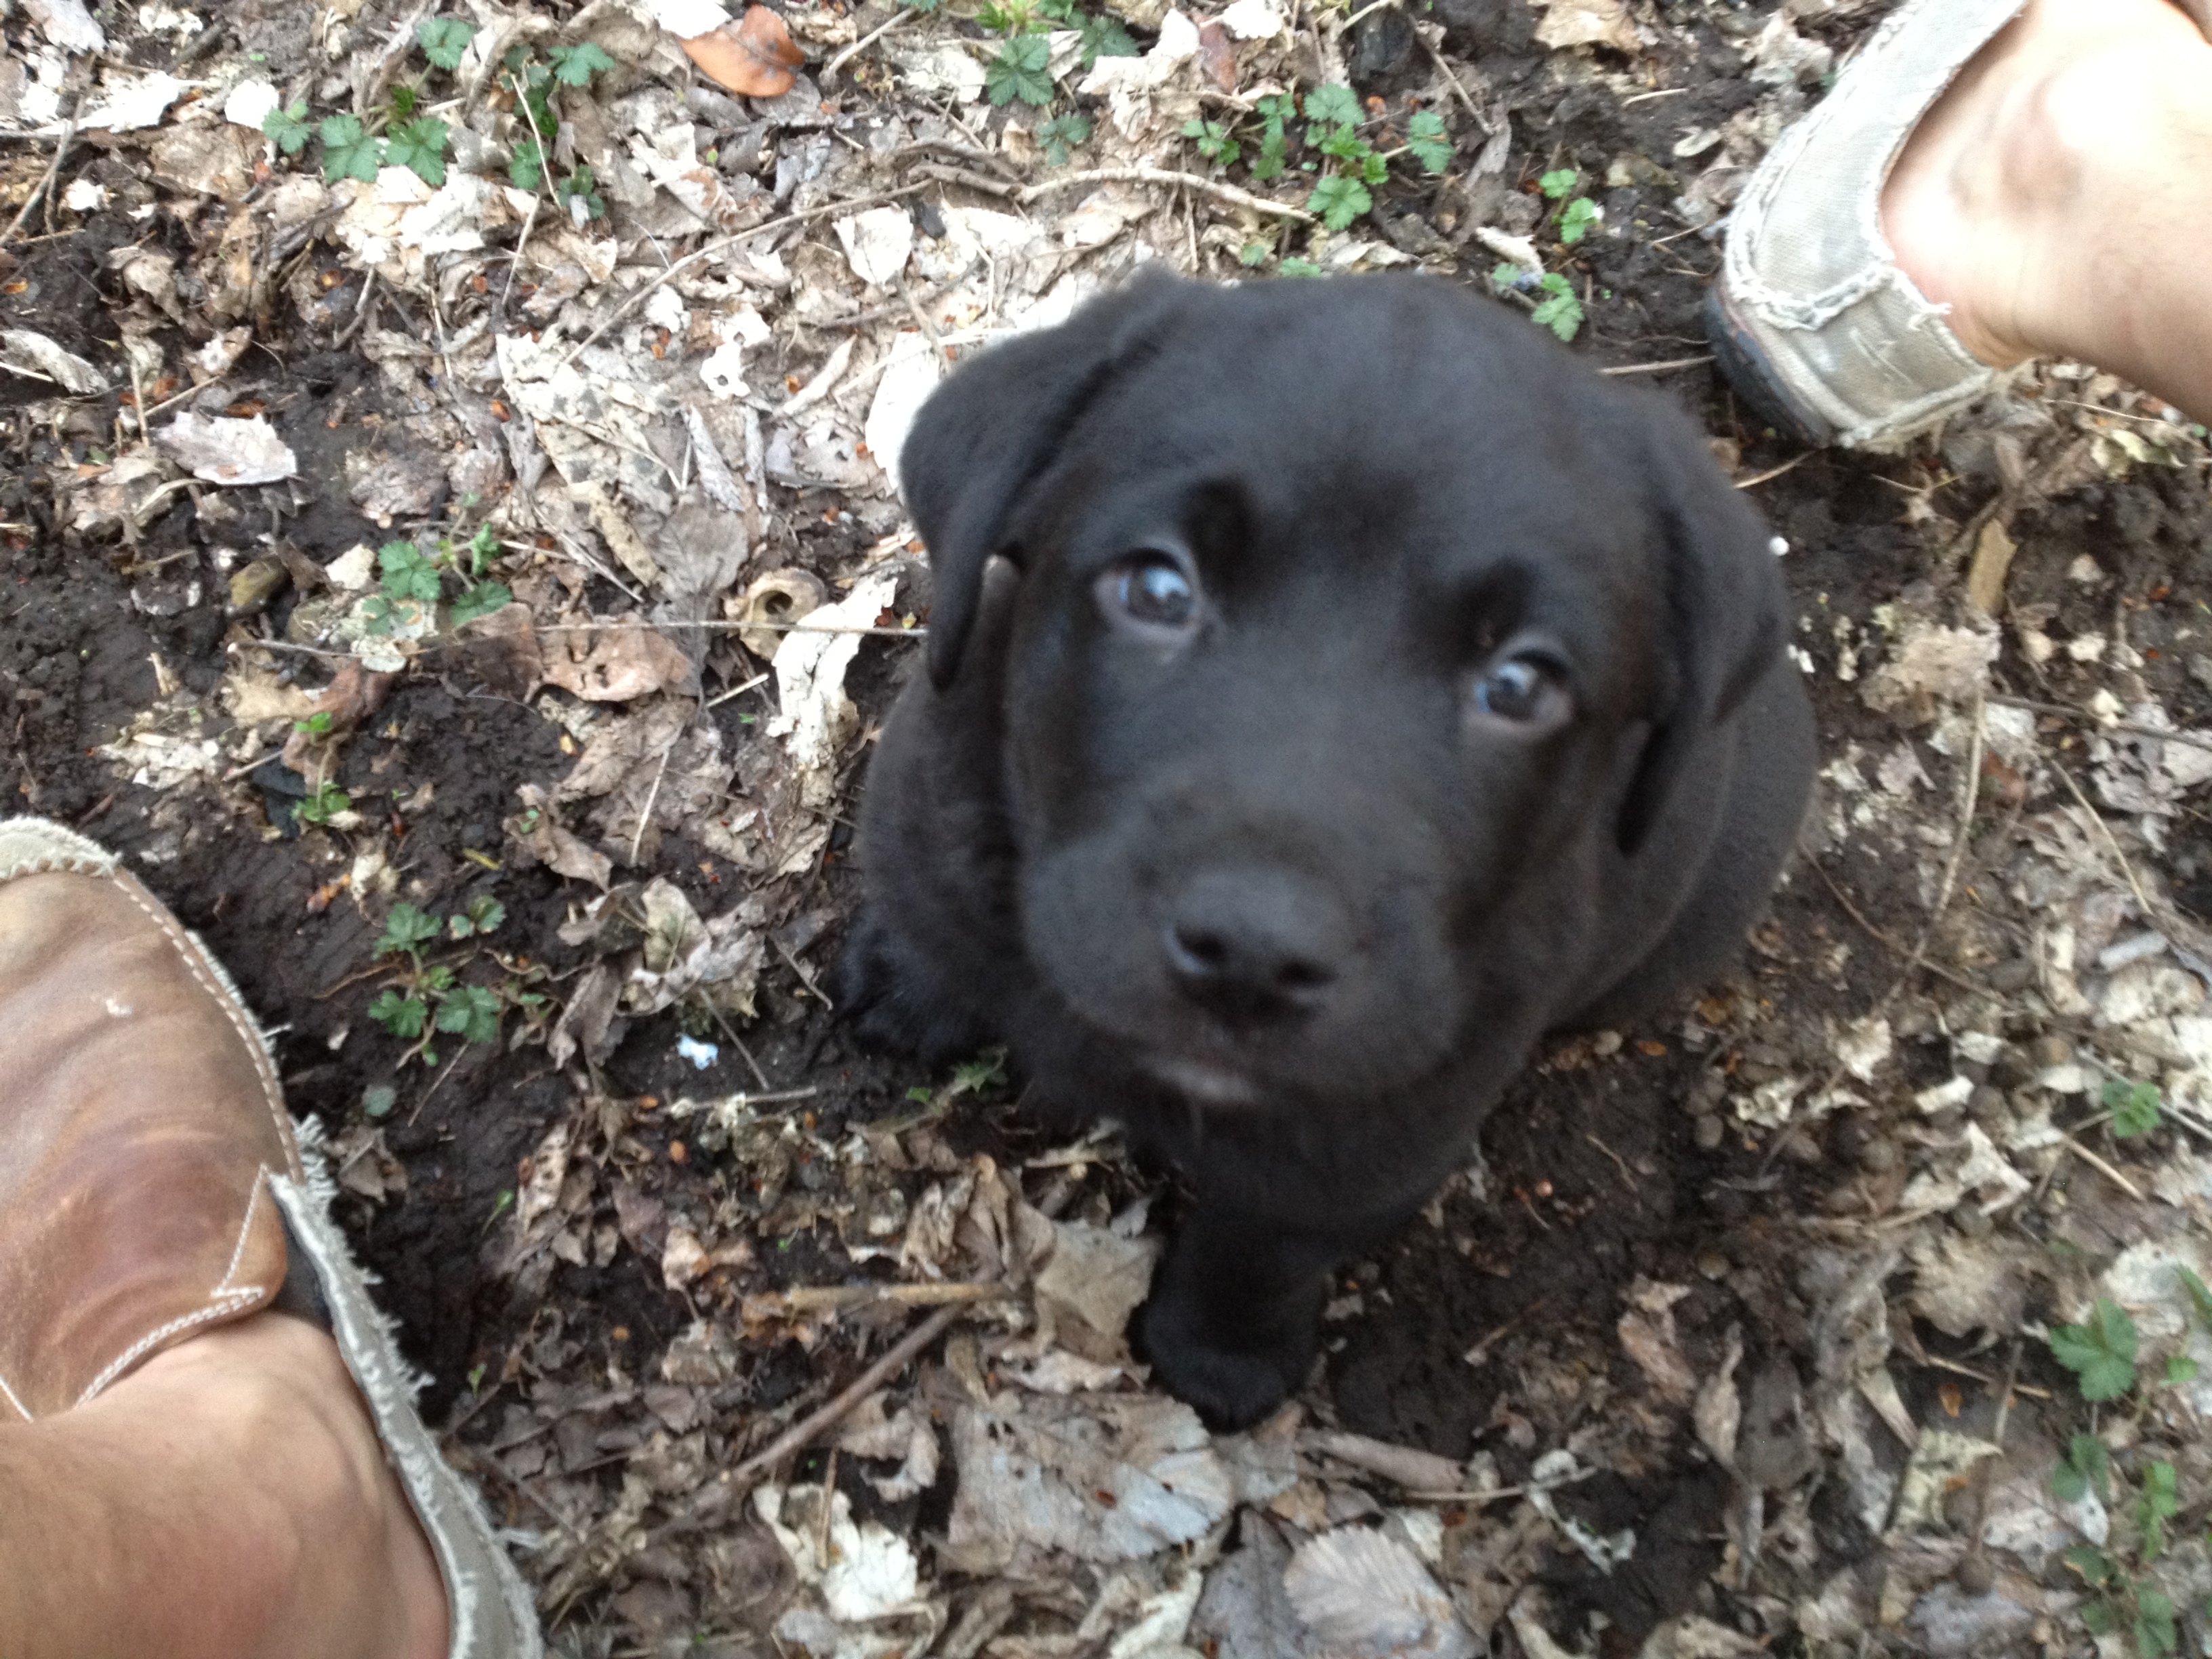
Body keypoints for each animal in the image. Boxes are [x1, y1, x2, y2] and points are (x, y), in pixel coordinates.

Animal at [839, 271, 1816, 1429]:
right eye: (1158, 590)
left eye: (1521, 685)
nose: (1254, 955)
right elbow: (933, 923)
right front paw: (907, 984)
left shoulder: (1365, 1148)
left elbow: (1256, 1252)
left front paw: (1219, 1358)